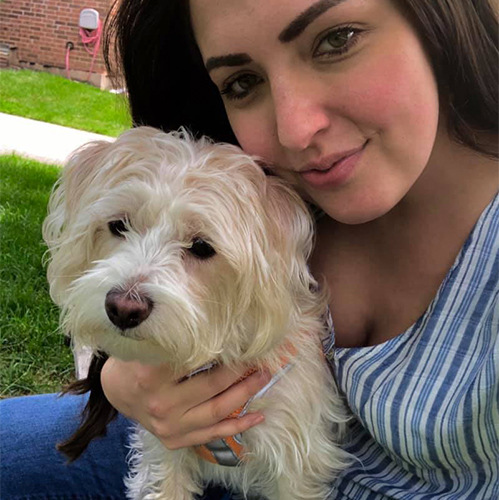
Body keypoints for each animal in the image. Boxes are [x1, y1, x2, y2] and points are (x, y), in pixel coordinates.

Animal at [43, 127, 351, 500]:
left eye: (202, 247)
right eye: (118, 225)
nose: (123, 309)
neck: (214, 353)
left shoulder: (296, 461)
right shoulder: (165, 449)